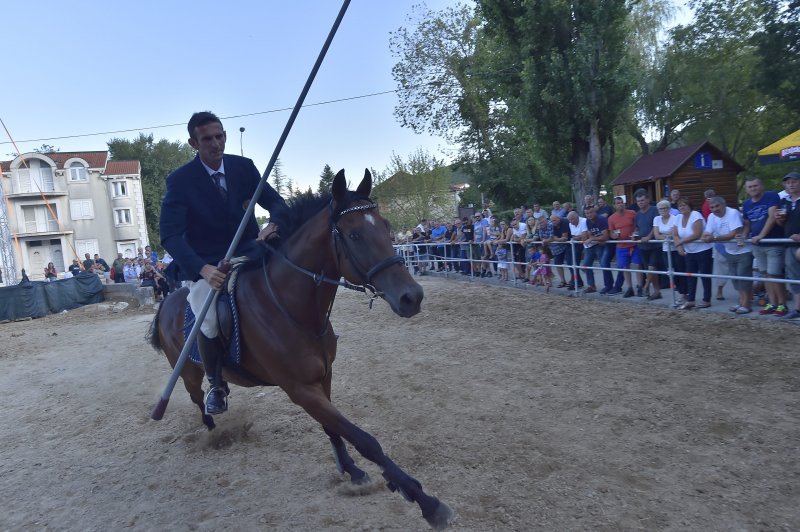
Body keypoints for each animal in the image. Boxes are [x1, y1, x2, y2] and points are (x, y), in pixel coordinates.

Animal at [148, 169, 454, 528]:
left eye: (387, 226)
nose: (411, 297)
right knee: (198, 398)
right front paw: (424, 500)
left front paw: (351, 470)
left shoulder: (323, 378)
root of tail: (167, 301)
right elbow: (365, 440)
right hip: (187, 371)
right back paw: (213, 429)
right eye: (354, 236)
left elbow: (334, 427)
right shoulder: (300, 389)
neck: (290, 306)